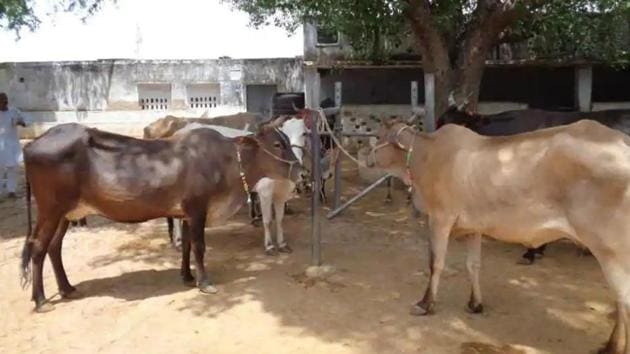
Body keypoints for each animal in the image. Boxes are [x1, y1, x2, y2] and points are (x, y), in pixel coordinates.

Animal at [21, 122, 304, 312]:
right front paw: (205, 282)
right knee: (38, 249)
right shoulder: (197, 209)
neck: (227, 162)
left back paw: (66, 288)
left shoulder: (185, 213)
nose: (301, 171)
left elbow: (187, 245)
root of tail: (32, 144)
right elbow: (199, 246)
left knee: (54, 248)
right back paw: (41, 300)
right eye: (277, 144)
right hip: (50, 211)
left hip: (65, 214)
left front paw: (187, 276)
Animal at [368, 117, 630, 352]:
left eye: (380, 136)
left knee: (623, 298)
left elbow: (436, 263)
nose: (366, 157)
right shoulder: (473, 228)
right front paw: (475, 304)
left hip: (610, 250)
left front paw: (425, 304)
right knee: (619, 300)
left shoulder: (440, 218)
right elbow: (473, 265)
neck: (425, 154)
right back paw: (609, 345)